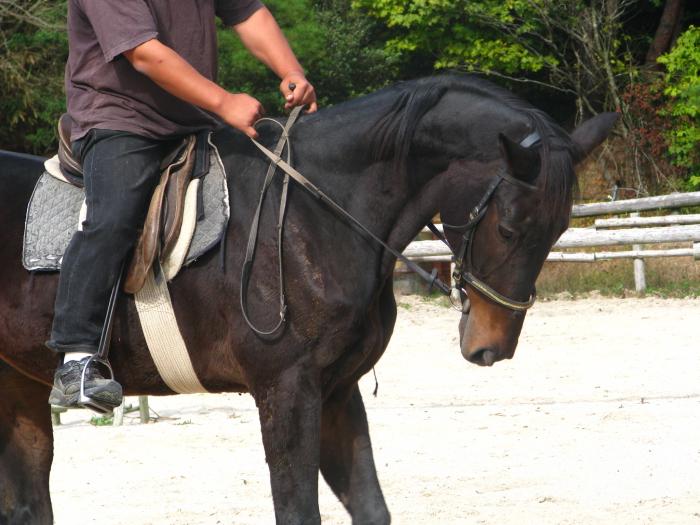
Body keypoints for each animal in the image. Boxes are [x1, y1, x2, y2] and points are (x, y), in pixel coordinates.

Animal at [0, 74, 612, 524]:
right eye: (508, 227)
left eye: (559, 229)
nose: (492, 347)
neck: (314, 216)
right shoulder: (287, 390)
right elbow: (299, 511)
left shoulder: (336, 390)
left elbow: (370, 507)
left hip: (20, 387)